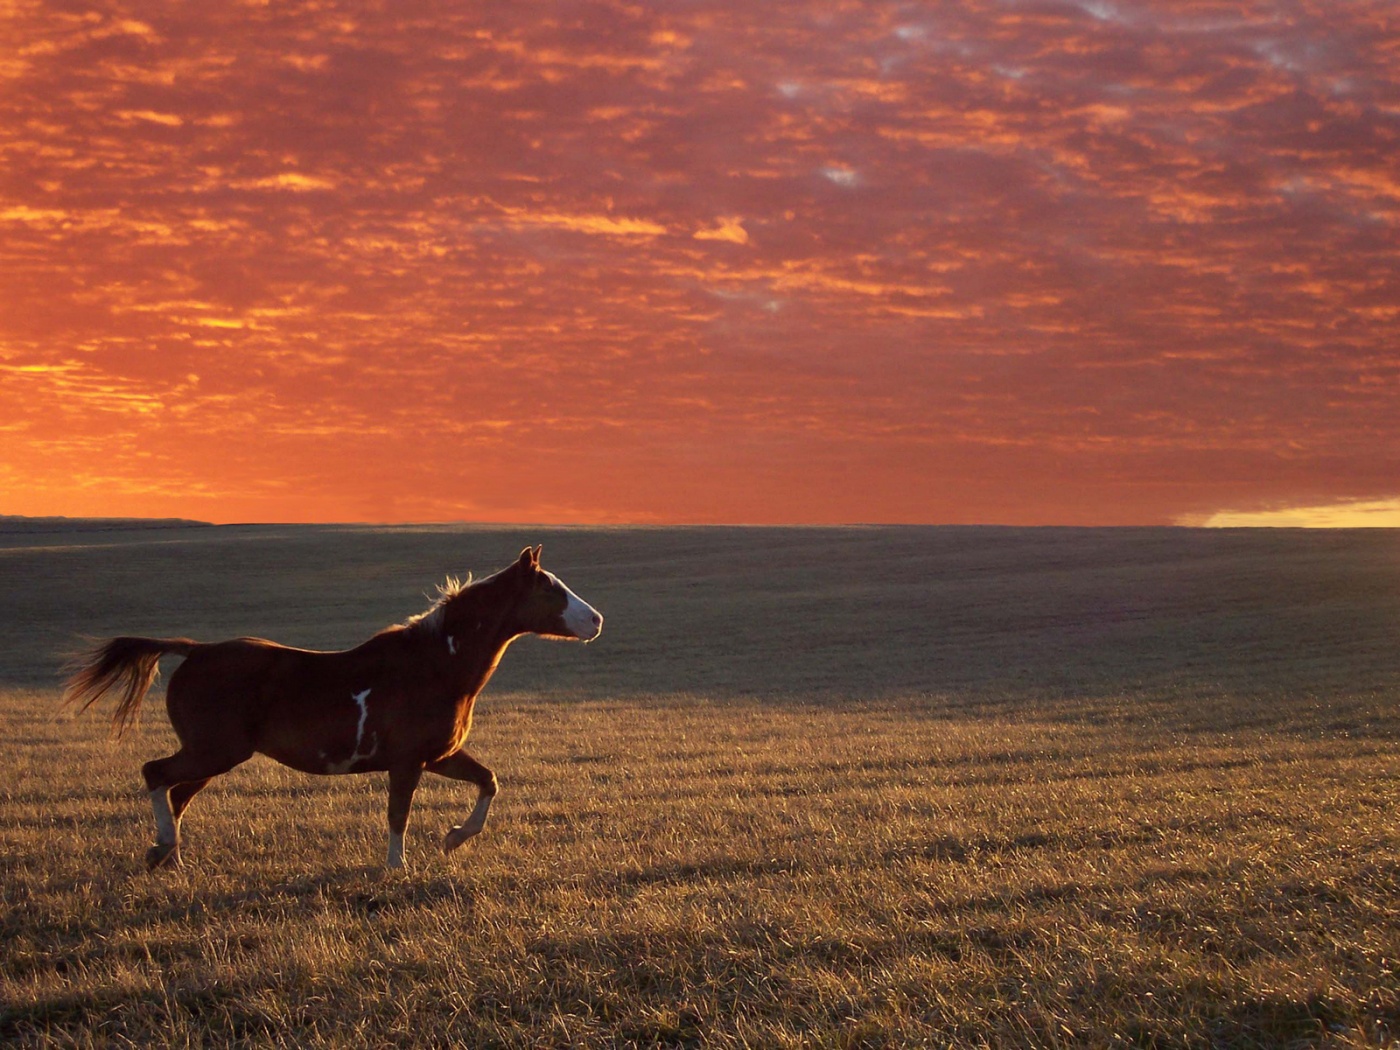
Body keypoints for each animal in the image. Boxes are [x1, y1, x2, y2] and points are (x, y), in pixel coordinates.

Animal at [61, 546, 602, 873]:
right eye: (552, 589)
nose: (596, 620)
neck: (436, 666)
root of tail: (194, 651)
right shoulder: (407, 762)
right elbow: (398, 814)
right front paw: (397, 868)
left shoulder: (440, 756)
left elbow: (489, 781)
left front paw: (453, 838)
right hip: (213, 750)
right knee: (156, 774)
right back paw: (162, 847)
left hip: (216, 755)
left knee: (177, 794)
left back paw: (169, 856)